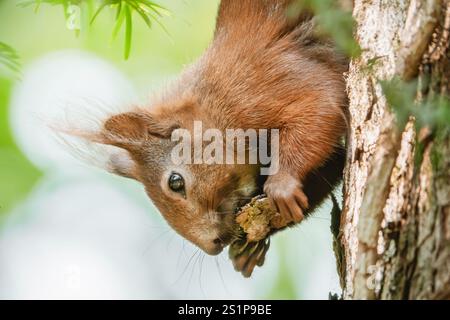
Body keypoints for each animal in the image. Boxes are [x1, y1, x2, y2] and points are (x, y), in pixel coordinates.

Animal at [77, 0, 348, 255]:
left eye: (175, 182)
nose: (213, 246)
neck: (213, 109)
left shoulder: (265, 80)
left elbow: (321, 105)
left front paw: (282, 183)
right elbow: (332, 165)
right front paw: (248, 249)